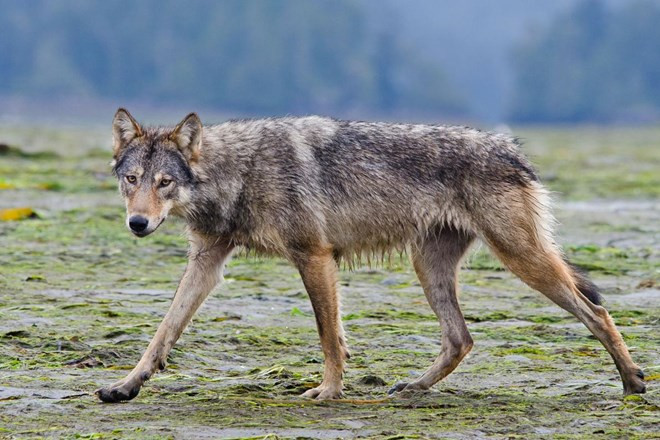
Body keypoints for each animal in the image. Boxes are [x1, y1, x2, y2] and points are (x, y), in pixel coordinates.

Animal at [96, 108, 646, 402]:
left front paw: (328, 393)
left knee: (595, 310)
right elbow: (163, 332)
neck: (240, 171)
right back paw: (412, 387)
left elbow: (328, 337)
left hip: (521, 260)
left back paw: (633, 381)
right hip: (430, 268)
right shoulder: (206, 263)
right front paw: (125, 386)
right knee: (461, 339)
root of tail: (514, 149)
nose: (138, 224)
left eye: (164, 183)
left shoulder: (315, 257)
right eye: (132, 180)